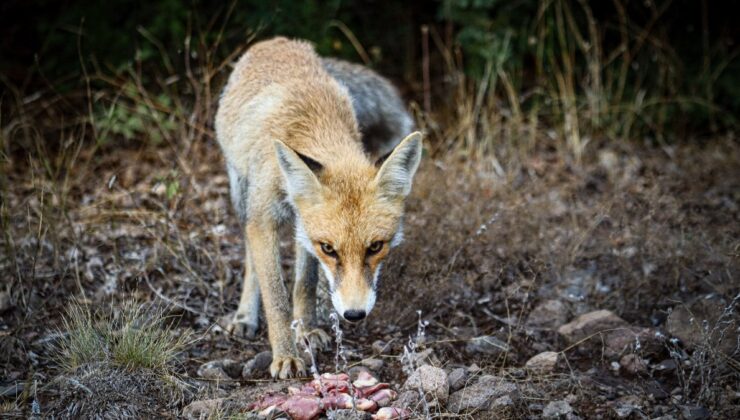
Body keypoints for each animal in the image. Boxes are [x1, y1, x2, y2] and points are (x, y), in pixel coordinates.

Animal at [214, 37, 422, 378]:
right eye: (330, 249)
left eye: (375, 246)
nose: (354, 314)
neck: (314, 122)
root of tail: (278, 40)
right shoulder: (265, 219)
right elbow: (276, 297)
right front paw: (286, 355)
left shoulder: (306, 230)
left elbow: (305, 284)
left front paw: (307, 331)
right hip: (242, 195)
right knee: (250, 258)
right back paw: (245, 316)